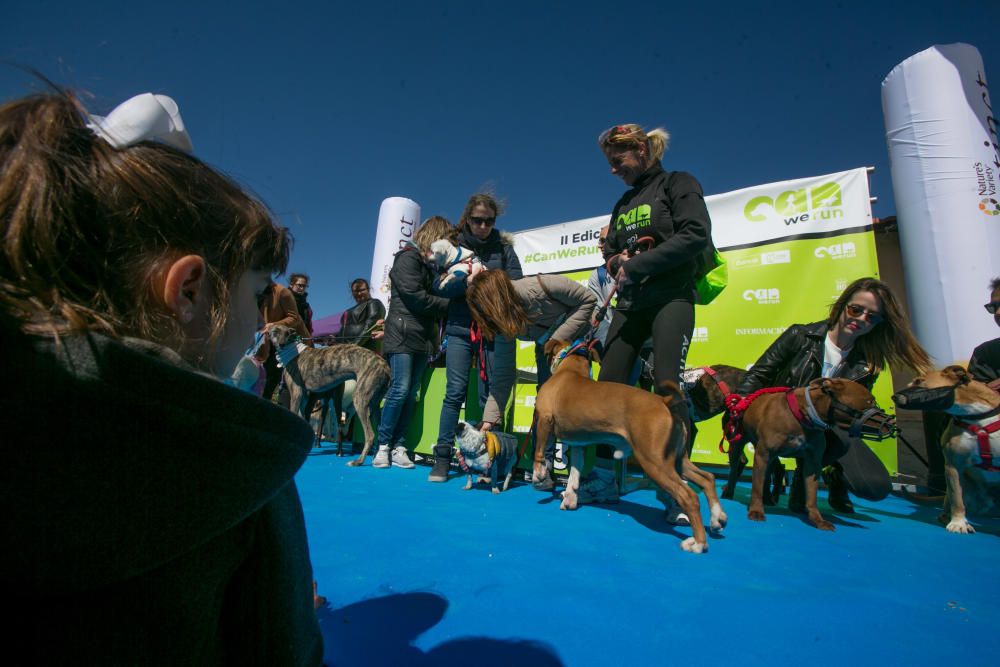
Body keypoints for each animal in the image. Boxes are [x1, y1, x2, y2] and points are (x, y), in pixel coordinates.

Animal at [532, 342, 728, 556]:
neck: (571, 370)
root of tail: (663, 402)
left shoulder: (544, 419)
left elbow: (539, 450)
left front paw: (538, 474)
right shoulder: (578, 443)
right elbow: (574, 475)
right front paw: (570, 498)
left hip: (655, 463)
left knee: (689, 496)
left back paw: (698, 543)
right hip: (677, 461)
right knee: (707, 478)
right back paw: (717, 518)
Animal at [728, 380, 884, 532]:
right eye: (870, 401)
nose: (889, 422)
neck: (804, 415)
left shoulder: (813, 463)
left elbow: (812, 496)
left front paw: (817, 520)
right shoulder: (763, 455)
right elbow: (756, 487)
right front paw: (756, 511)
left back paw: (769, 499)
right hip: (739, 444)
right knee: (736, 468)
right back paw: (728, 493)